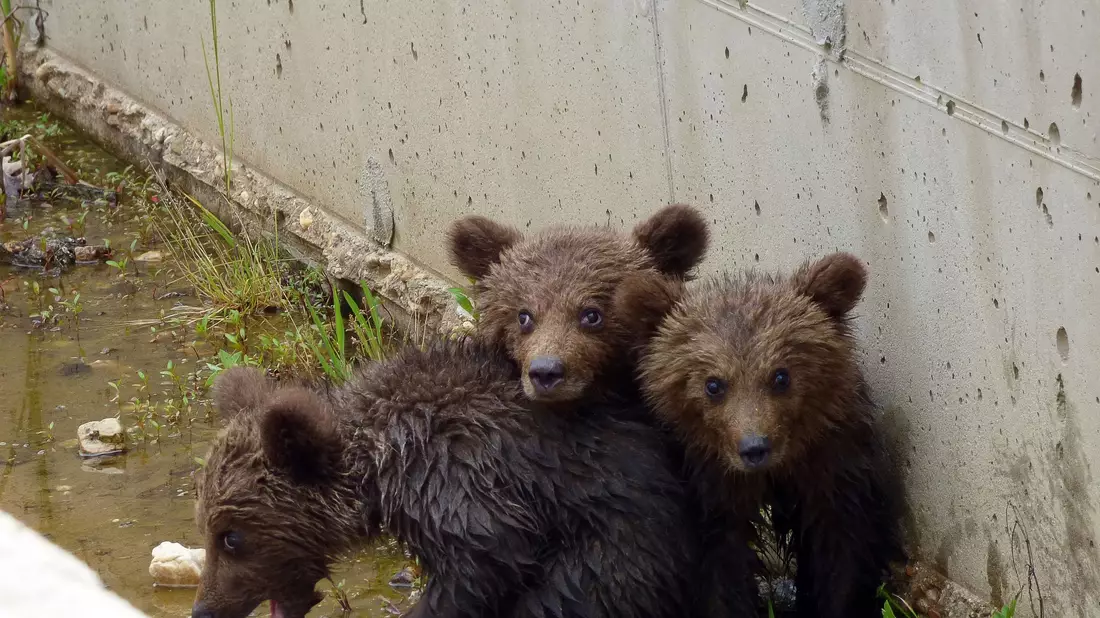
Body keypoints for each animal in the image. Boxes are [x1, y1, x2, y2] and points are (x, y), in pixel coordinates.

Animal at [189, 340, 725, 618]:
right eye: (209, 530)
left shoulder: (451, 477)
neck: (378, 465)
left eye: (232, 538)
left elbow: (484, 560)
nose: (203, 610)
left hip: (618, 549)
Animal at [637, 252, 904, 618]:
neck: (778, 469)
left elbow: (842, 548)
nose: (755, 447)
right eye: (713, 384)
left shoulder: (831, 464)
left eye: (781, 376)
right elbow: (722, 560)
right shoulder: (713, 483)